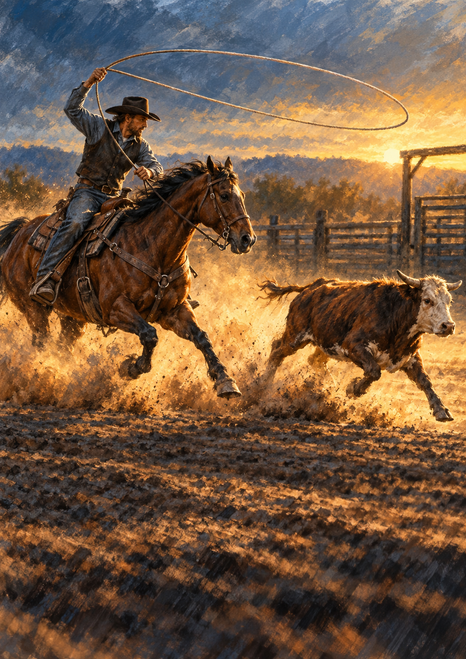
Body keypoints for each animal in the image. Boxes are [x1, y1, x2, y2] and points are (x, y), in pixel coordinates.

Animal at [0, 157, 256, 398]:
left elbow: (201, 338)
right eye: (224, 196)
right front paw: (132, 367)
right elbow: (149, 335)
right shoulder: (115, 309)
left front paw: (226, 381)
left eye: (242, 195)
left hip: (73, 317)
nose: (247, 239)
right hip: (34, 310)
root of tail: (20, 234)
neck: (153, 246)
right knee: (41, 343)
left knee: (63, 346)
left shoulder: (174, 310)